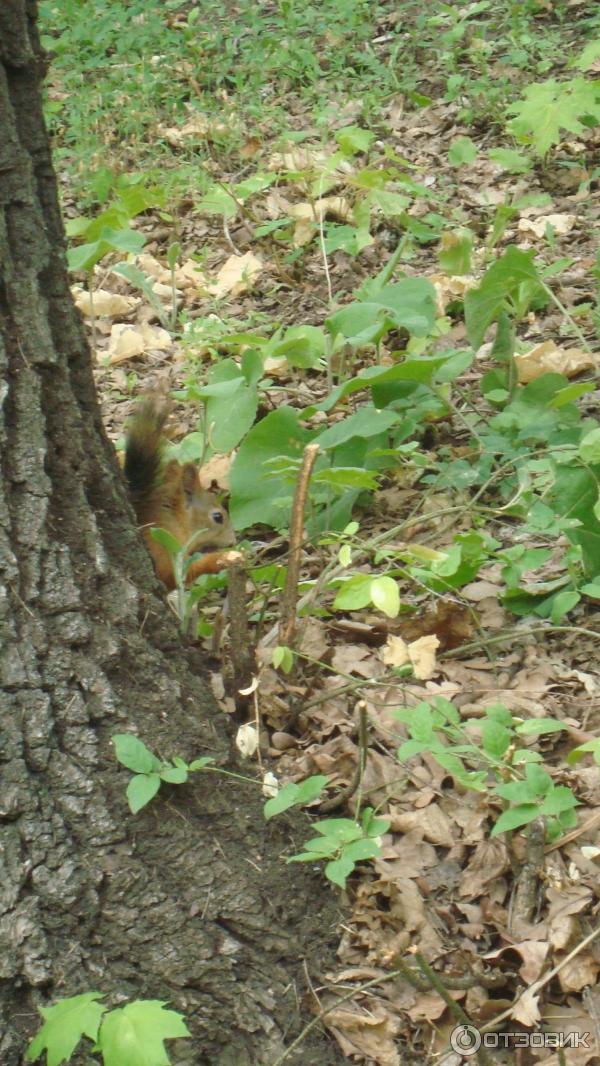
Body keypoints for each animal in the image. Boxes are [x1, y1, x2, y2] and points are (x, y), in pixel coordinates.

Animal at [123, 394, 234, 592]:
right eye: (218, 517)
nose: (233, 540)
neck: (173, 520)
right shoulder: (163, 548)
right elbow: (181, 573)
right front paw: (223, 558)